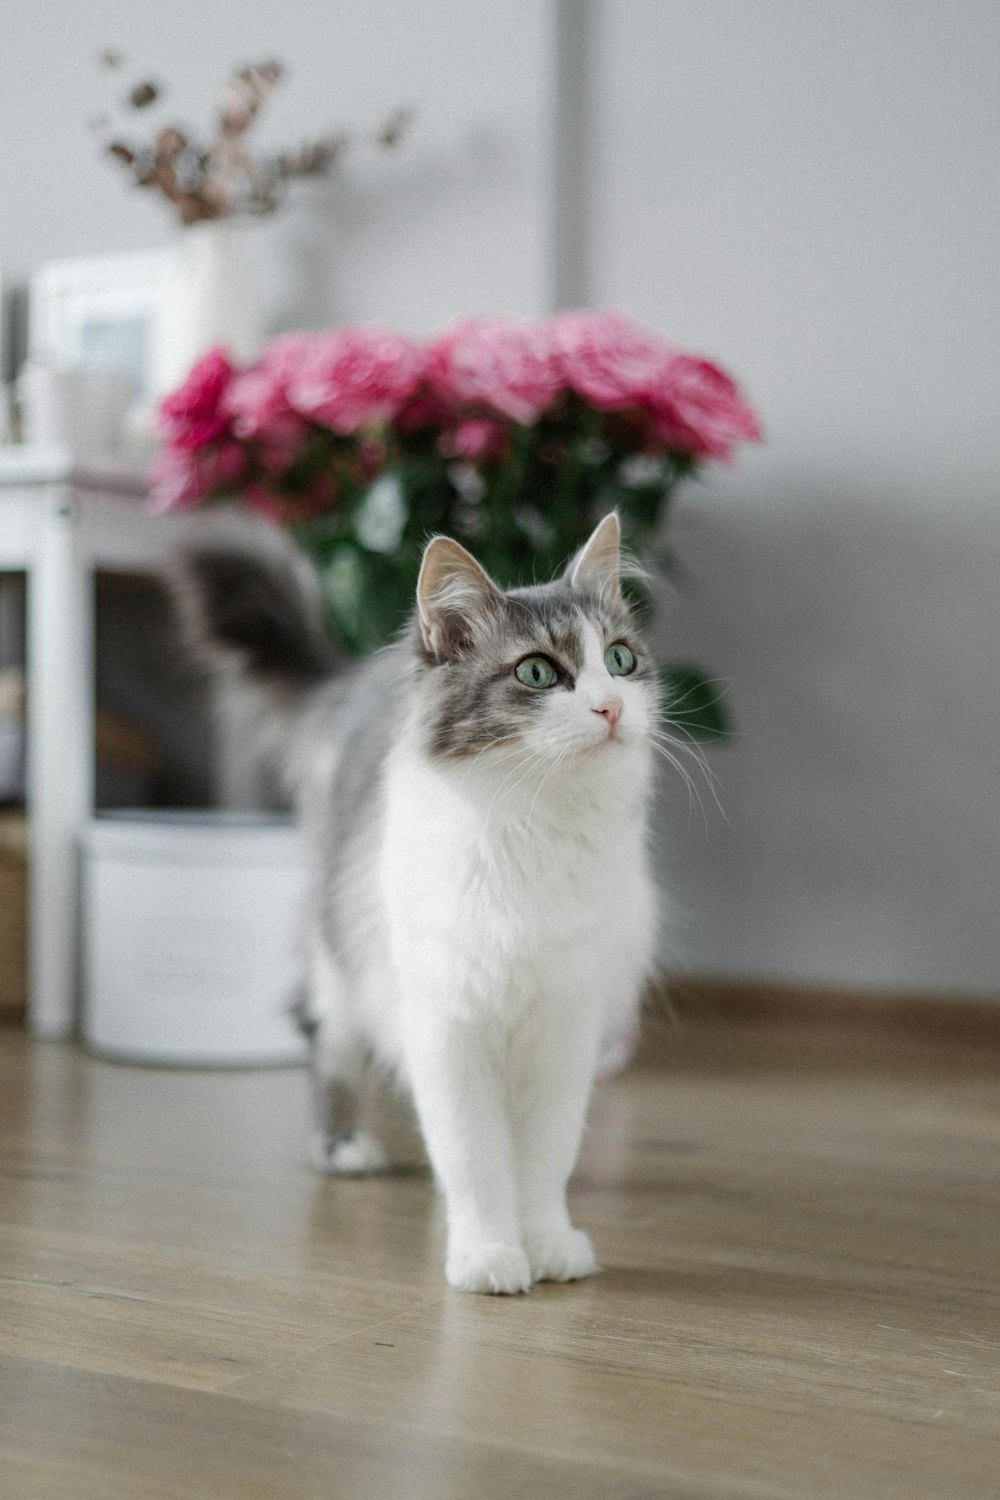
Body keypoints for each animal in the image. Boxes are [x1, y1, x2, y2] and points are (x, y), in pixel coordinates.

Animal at [172, 513, 659, 1290]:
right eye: (536, 672)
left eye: (619, 660)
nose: (611, 708)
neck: (536, 828)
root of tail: (357, 679)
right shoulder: (445, 1022)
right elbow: (474, 1157)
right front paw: (488, 1254)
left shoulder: (565, 1027)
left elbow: (544, 1159)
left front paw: (547, 1244)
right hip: (339, 960)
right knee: (326, 1044)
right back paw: (345, 1148)